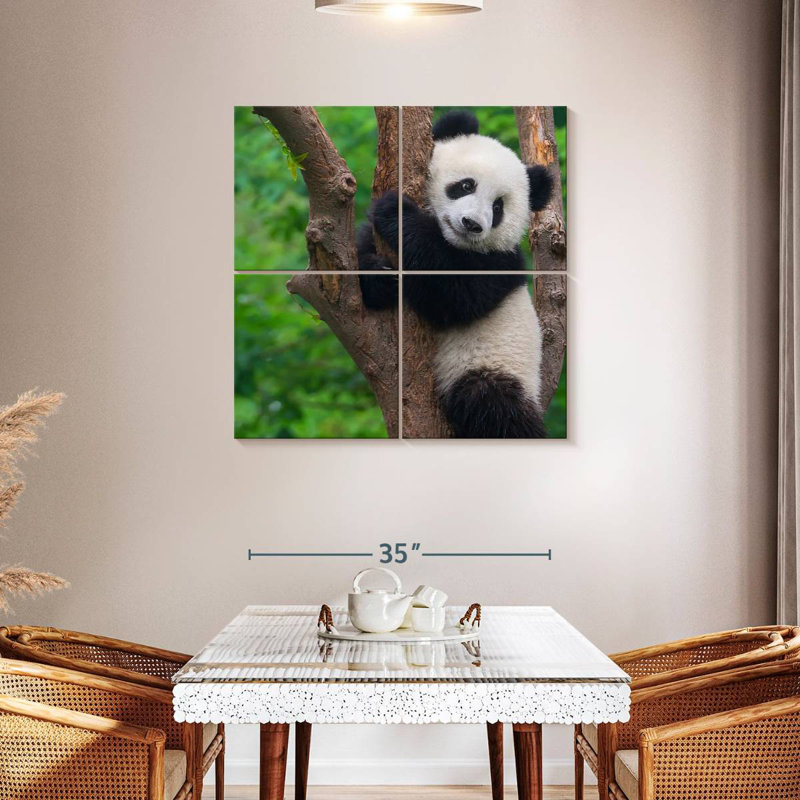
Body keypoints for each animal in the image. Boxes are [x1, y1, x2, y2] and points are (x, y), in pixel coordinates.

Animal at [358, 109, 553, 439]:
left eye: (498, 207)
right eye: (466, 186)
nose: (472, 224)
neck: (452, 242)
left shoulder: (500, 264)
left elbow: (455, 296)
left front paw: (397, 213)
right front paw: (378, 277)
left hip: (494, 366)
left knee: (493, 406)